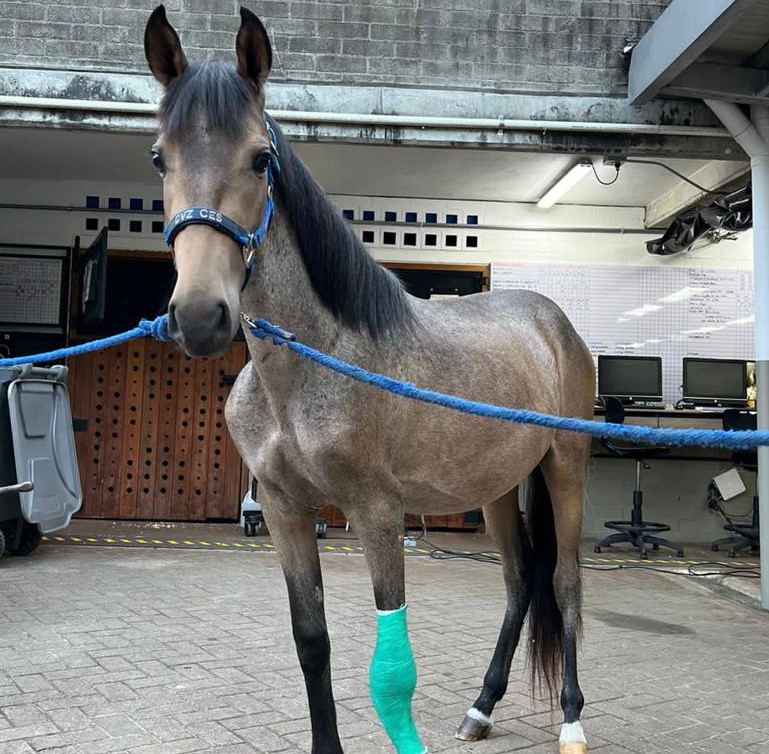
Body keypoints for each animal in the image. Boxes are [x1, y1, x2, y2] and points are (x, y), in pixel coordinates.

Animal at [144, 6, 595, 754]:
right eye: (159, 157)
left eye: (261, 158)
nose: (201, 315)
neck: (310, 365)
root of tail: (553, 322)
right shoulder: (284, 510)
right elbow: (312, 643)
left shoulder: (378, 511)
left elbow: (392, 670)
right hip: (497, 489)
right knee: (517, 584)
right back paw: (480, 708)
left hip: (564, 468)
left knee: (562, 582)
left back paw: (570, 721)